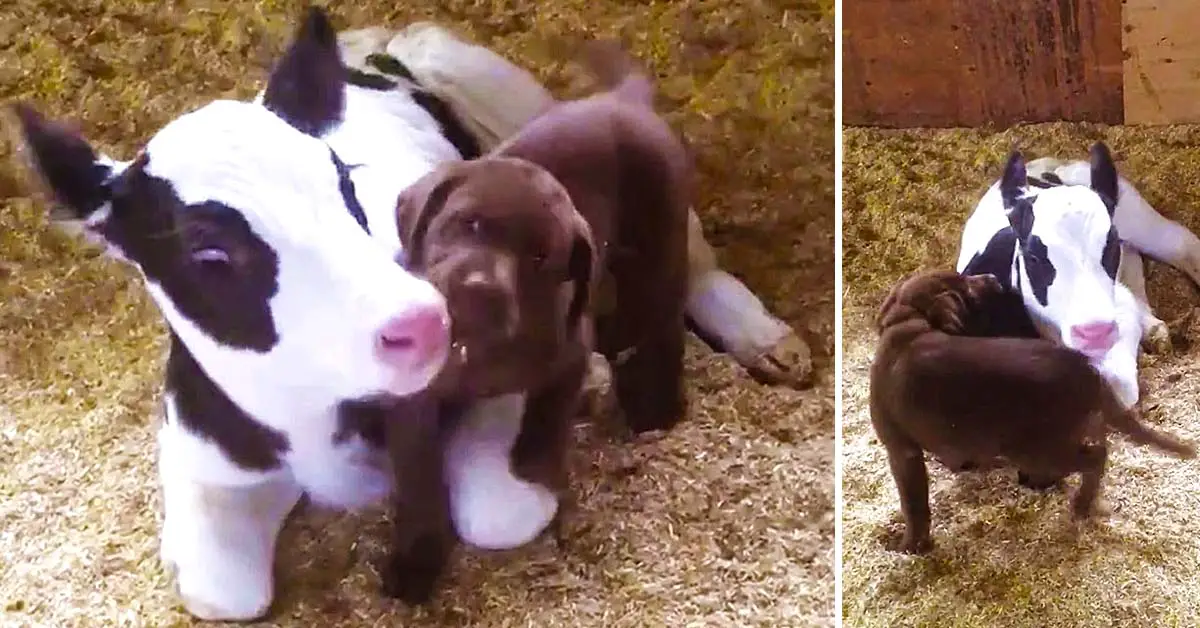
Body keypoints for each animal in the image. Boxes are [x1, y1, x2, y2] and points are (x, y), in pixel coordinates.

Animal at [9, 4, 811, 624]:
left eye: (342, 179)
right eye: (207, 253)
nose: (425, 323)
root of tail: (377, 42)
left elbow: (497, 512)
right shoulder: (199, 450)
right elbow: (221, 591)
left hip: (515, 97)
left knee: (690, 254)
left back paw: (767, 341)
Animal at [868, 270, 1195, 554]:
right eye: (968, 287)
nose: (992, 278)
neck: (906, 324)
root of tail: (1088, 373)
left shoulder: (902, 450)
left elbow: (914, 504)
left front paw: (910, 547)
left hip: (1037, 449)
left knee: (1096, 457)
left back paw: (1079, 504)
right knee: (1097, 446)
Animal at [955, 142, 1200, 408]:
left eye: (1109, 246)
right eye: (1033, 257)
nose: (1095, 332)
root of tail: (1048, 162)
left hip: (1135, 217)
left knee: (1179, 243)